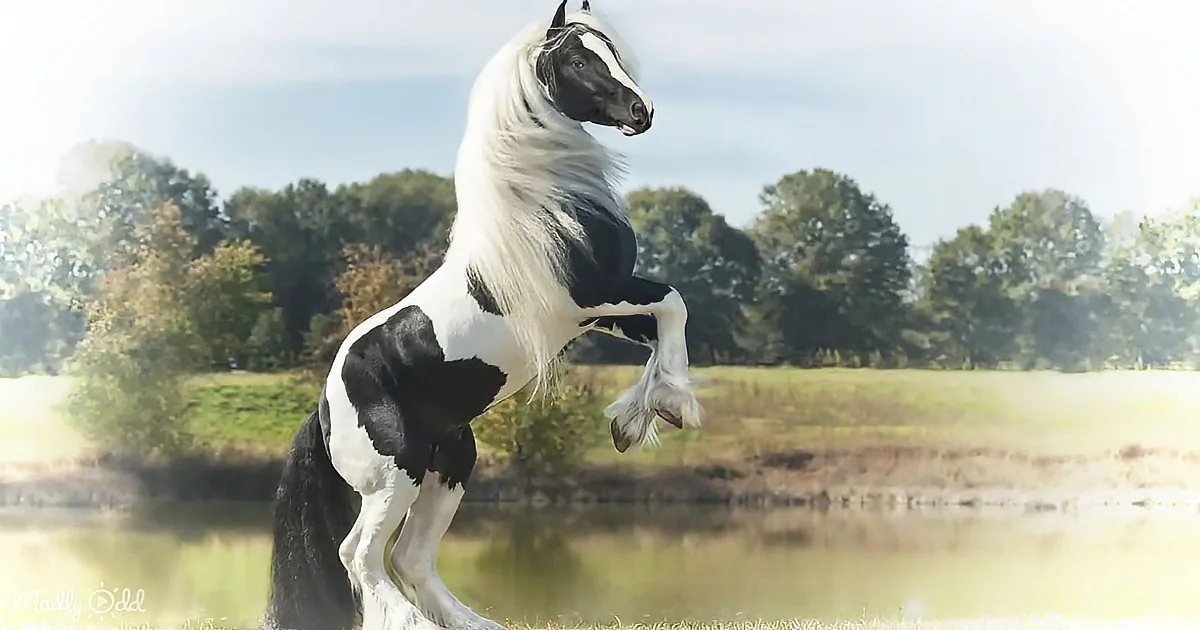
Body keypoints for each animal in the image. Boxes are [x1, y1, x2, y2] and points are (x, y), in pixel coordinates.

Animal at [263, 2, 703, 629]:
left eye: (613, 50)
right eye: (578, 59)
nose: (642, 112)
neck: (545, 207)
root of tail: (324, 409)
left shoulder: (600, 312)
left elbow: (666, 323)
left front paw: (636, 420)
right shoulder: (591, 298)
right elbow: (672, 301)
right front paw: (670, 408)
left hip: (451, 461)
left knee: (411, 555)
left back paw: (475, 622)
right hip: (395, 473)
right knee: (361, 555)